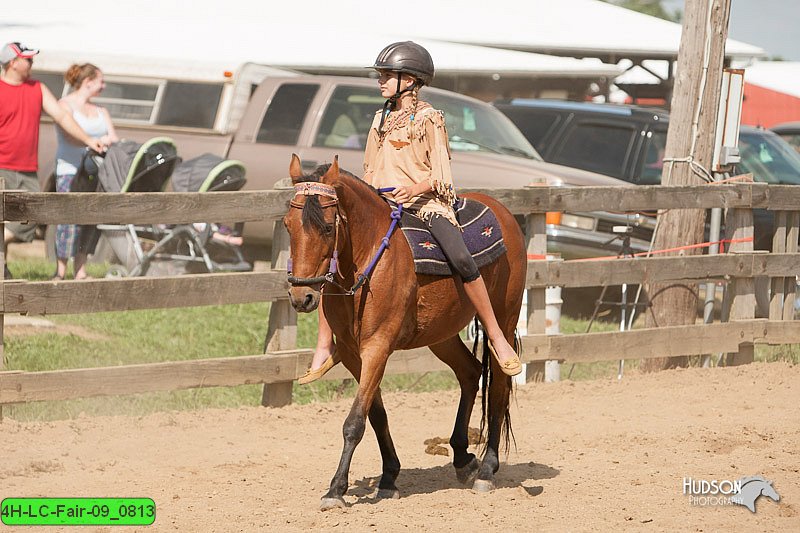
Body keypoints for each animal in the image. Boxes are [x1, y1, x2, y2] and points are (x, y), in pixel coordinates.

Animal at [284, 155, 528, 512]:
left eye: (327, 227)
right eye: (287, 225)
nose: (301, 297)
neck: (368, 258)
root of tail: (502, 211)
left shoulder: (377, 347)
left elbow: (354, 422)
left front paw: (336, 490)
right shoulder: (353, 355)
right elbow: (375, 415)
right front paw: (389, 478)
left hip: (504, 320)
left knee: (498, 386)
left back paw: (486, 469)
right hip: (442, 335)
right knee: (470, 372)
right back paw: (462, 457)